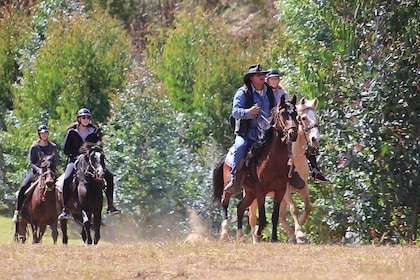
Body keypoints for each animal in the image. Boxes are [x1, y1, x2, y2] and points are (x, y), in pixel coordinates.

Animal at [213, 95, 298, 242]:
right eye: (283, 113)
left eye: (296, 114)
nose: (293, 134)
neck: (273, 160)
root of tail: (225, 157)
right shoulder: (261, 190)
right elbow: (263, 218)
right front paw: (258, 234)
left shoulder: (280, 190)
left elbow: (274, 216)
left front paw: (274, 238)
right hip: (231, 187)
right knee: (225, 203)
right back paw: (224, 233)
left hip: (250, 192)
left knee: (239, 208)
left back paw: (240, 236)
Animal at [249, 98, 322, 243]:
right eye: (303, 118)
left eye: (317, 117)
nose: (316, 139)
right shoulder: (285, 189)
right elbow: (293, 208)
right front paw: (300, 233)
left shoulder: (302, 185)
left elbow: (308, 207)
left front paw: (299, 228)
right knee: (252, 217)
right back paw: (256, 237)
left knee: (281, 215)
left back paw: (291, 236)